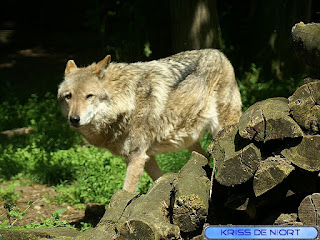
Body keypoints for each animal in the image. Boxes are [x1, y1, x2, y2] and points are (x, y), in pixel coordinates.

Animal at [58, 49, 242, 193]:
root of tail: (219, 53)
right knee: (203, 158)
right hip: (190, 141)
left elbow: (127, 191)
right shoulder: (144, 157)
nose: (74, 119)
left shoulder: (137, 157)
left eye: (89, 96)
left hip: (221, 130)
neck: (127, 100)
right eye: (68, 96)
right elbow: (158, 180)